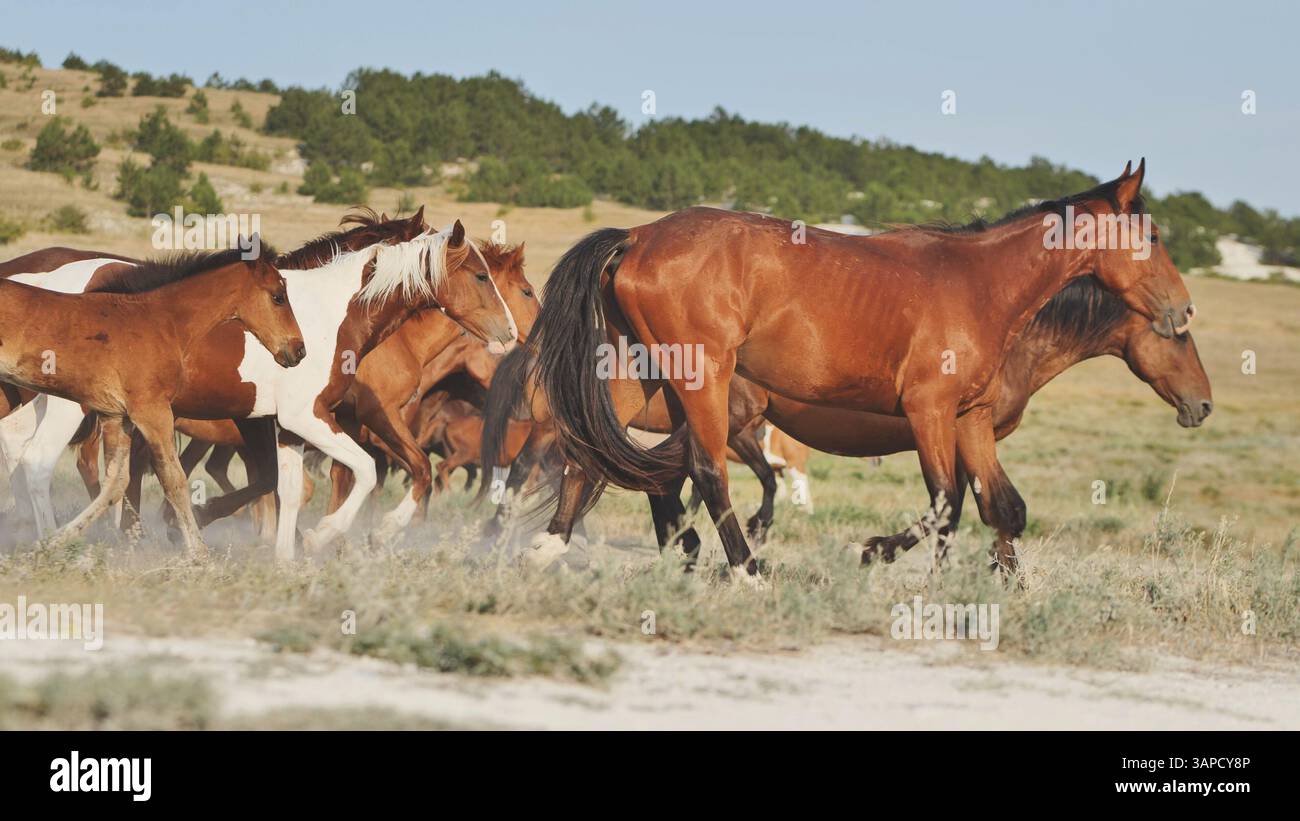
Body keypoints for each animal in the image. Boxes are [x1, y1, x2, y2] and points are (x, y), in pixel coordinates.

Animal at [0, 244, 304, 556]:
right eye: (278, 297)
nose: (298, 349)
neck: (161, 322)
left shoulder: (116, 416)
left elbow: (116, 483)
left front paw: (58, 540)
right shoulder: (152, 412)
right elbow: (174, 479)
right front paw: (198, 552)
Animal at [528, 162, 1197, 583]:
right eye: (1152, 235)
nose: (1183, 309)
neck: (979, 286)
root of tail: (638, 236)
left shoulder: (968, 419)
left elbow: (996, 507)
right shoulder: (930, 411)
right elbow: (947, 503)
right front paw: (885, 558)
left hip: (638, 375)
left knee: (592, 450)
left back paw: (548, 546)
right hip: (702, 382)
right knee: (704, 472)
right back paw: (747, 572)